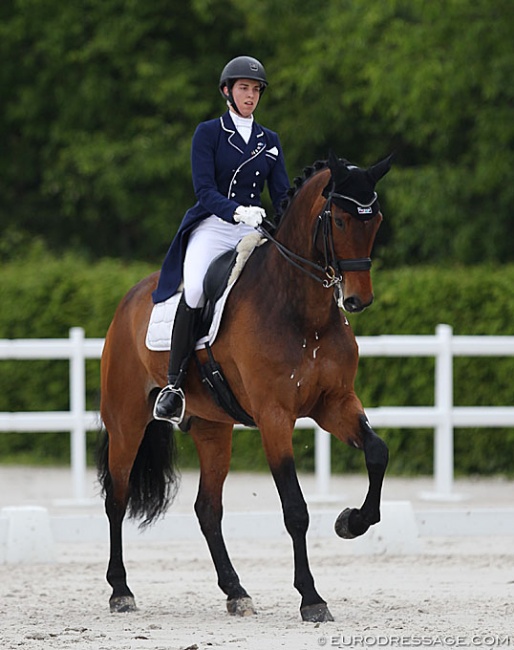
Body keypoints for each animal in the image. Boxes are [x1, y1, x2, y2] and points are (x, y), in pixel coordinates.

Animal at [98, 149, 390, 620]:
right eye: (342, 221)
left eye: (375, 220)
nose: (357, 300)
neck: (302, 311)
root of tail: (131, 298)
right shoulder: (274, 417)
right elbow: (295, 509)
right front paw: (312, 598)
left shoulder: (334, 403)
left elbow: (377, 452)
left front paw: (351, 521)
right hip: (127, 420)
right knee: (117, 499)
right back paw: (120, 590)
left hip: (213, 427)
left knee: (207, 509)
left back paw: (236, 591)